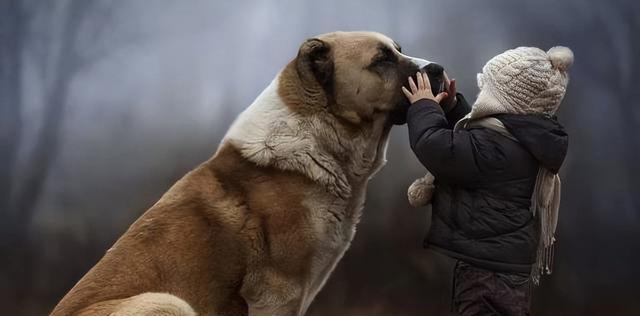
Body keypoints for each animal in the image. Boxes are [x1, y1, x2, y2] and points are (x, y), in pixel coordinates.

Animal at [52, 30, 444, 314]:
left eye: (398, 50)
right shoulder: (277, 292)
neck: (317, 133)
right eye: (381, 60)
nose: (439, 69)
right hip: (165, 302)